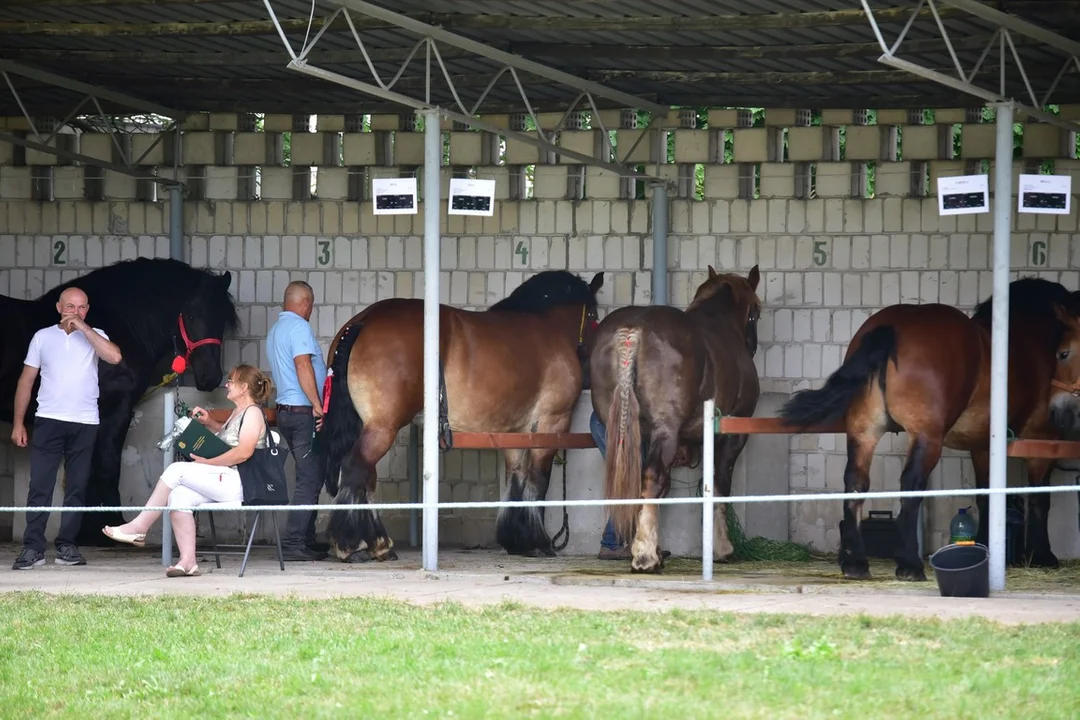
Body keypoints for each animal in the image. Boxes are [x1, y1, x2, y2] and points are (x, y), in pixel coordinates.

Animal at [1, 255, 238, 544]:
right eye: (191, 315)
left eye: (222, 319)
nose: (210, 376)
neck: (120, 326)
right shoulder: (115, 410)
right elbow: (106, 465)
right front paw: (107, 525)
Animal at [319, 268, 609, 561]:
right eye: (594, 317)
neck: (549, 326)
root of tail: (364, 321)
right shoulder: (552, 422)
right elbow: (539, 481)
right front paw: (539, 541)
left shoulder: (515, 431)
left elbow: (515, 479)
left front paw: (518, 540)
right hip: (382, 427)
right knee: (356, 468)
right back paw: (353, 545)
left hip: (370, 425)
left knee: (366, 476)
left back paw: (379, 544)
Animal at [591, 266, 760, 574]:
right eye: (755, 312)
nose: (752, 345)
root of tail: (633, 332)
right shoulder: (731, 434)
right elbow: (718, 483)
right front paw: (721, 547)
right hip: (665, 431)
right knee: (651, 477)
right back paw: (645, 557)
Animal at [781, 278, 1080, 582]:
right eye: (1062, 353)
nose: (1061, 411)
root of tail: (892, 326)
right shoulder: (1042, 439)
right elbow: (1040, 498)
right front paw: (1042, 556)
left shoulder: (982, 446)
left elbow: (985, 496)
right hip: (927, 437)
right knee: (911, 484)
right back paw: (910, 564)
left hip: (864, 432)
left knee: (855, 482)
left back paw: (856, 563)